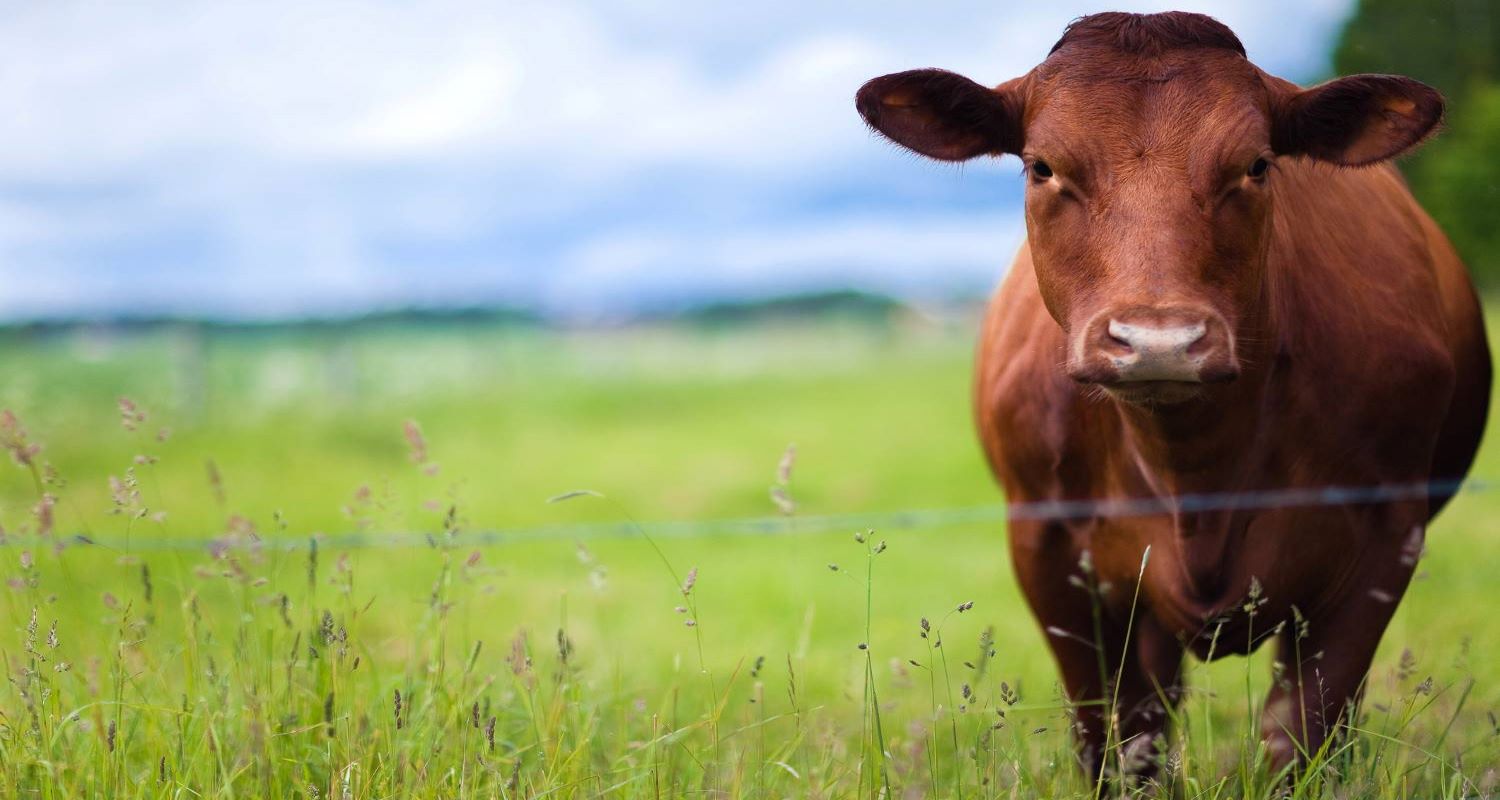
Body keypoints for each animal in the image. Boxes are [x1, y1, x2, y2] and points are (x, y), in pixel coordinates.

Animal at [858, 9, 1488, 774]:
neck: (1195, 475)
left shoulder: (1385, 538)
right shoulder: (1047, 550)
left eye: (1257, 165)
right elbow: (1116, 739)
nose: (1158, 341)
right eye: (1042, 167)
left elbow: (1302, 732)